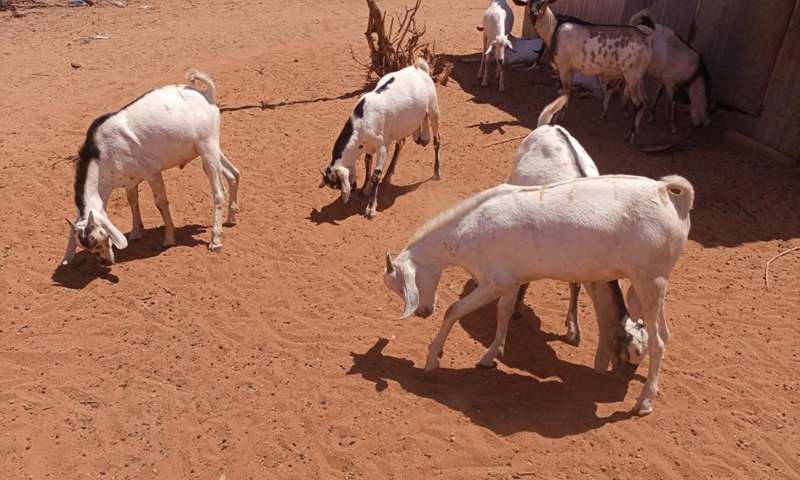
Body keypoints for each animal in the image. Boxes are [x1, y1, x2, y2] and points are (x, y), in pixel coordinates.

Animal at [62, 70, 239, 268]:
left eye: (102, 237)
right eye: (87, 246)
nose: (107, 262)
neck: (101, 154)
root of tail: (206, 95)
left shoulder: (152, 172)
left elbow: (161, 203)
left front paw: (169, 238)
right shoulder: (129, 180)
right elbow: (132, 200)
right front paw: (135, 232)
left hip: (207, 147)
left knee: (219, 192)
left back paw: (215, 240)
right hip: (210, 149)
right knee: (234, 173)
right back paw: (231, 218)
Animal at [320, 57, 444, 219]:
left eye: (336, 185)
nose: (348, 193)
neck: (361, 120)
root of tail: (418, 67)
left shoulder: (382, 147)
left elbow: (375, 175)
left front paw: (371, 208)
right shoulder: (367, 146)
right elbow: (367, 163)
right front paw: (365, 190)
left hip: (434, 110)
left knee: (436, 141)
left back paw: (436, 172)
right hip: (404, 124)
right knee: (401, 142)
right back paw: (389, 175)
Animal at [510, 94, 648, 376]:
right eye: (628, 352)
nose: (620, 379)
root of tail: (548, 126)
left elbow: (574, 287)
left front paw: (573, 330)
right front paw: (516, 309)